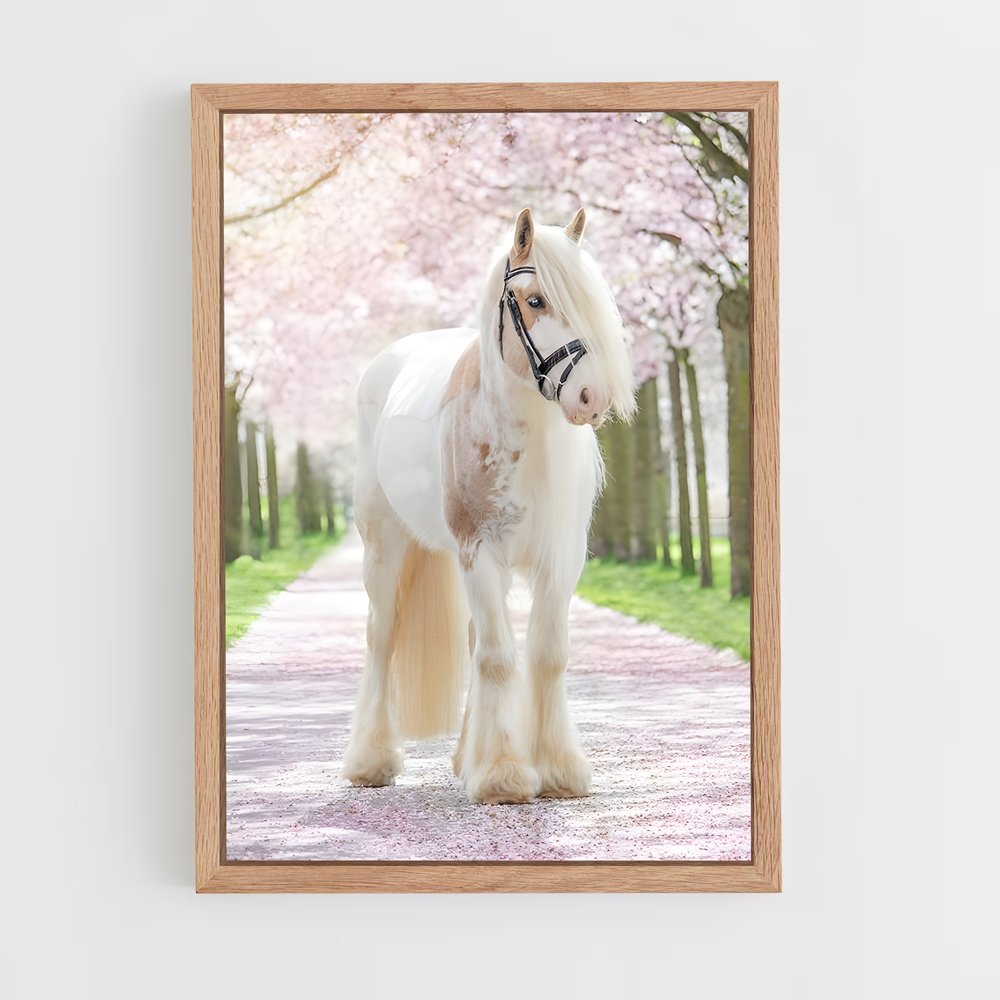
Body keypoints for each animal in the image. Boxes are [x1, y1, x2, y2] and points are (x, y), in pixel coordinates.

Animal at [342, 207, 636, 804]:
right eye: (536, 300)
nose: (591, 398)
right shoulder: (480, 551)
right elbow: (500, 658)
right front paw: (503, 775)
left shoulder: (560, 561)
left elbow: (546, 655)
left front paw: (559, 770)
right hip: (383, 546)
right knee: (382, 636)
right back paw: (371, 761)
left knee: (477, 638)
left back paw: (463, 759)